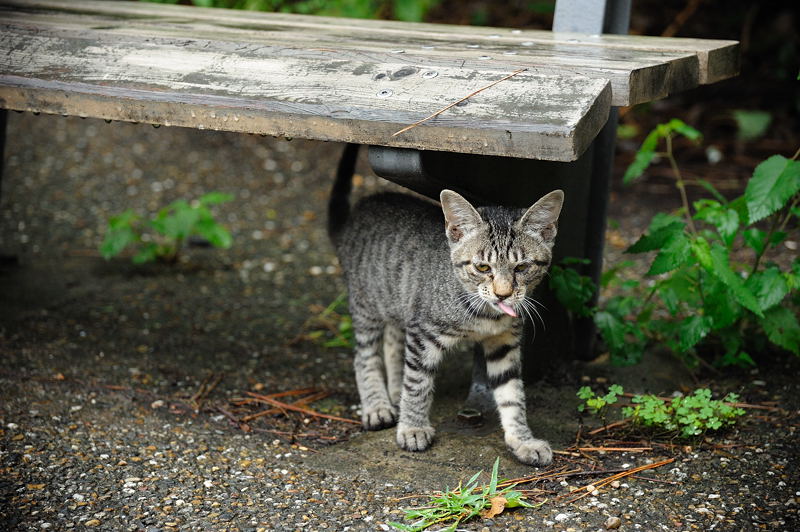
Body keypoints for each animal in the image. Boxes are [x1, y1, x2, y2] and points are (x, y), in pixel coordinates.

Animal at [330, 145, 564, 466]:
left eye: (521, 267)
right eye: (482, 267)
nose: (503, 294)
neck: (485, 314)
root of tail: (359, 212)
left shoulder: (504, 341)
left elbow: (512, 393)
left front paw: (522, 440)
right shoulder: (422, 331)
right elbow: (417, 383)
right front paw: (413, 427)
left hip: (399, 300)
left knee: (392, 342)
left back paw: (394, 391)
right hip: (367, 303)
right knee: (364, 355)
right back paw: (377, 405)